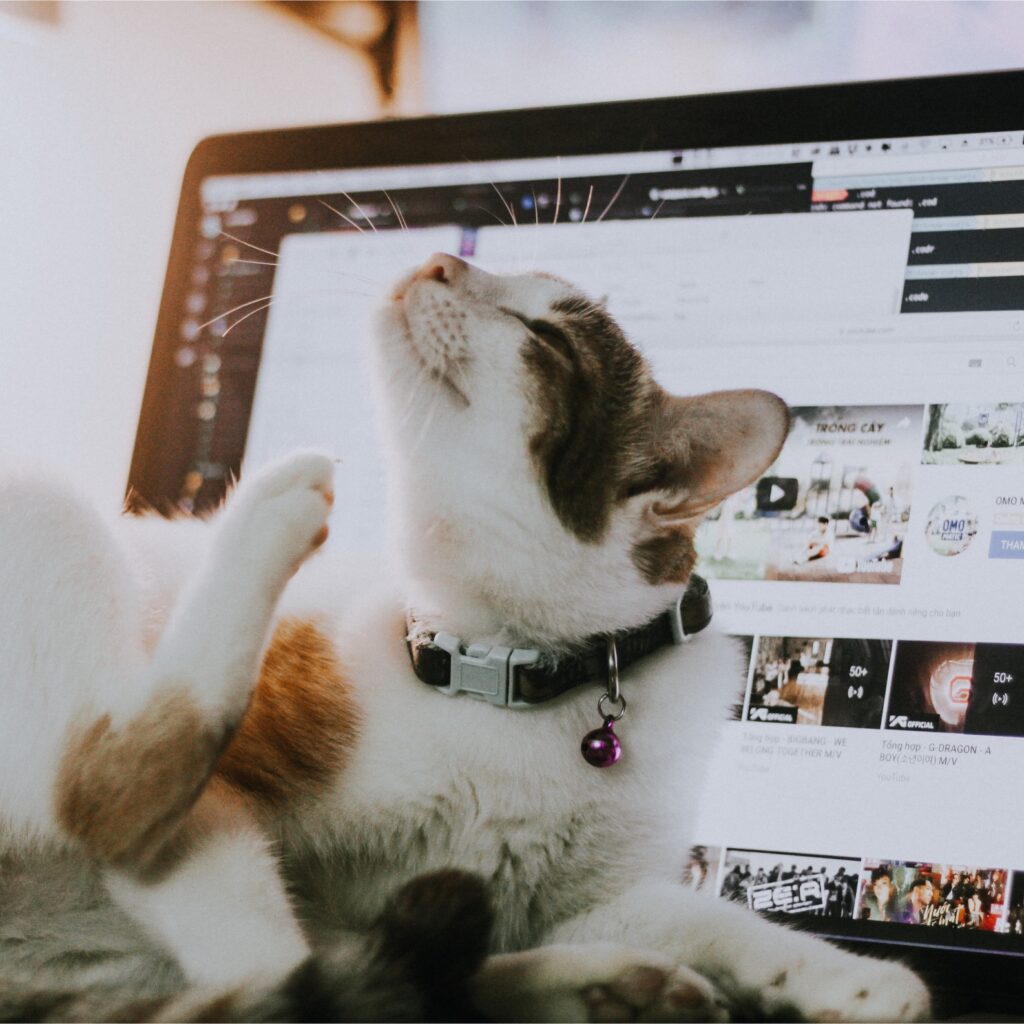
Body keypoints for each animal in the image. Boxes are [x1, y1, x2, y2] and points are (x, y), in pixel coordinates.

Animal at [0, 249, 929, 1024]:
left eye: (544, 335)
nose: (440, 258)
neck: (507, 676)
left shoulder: (586, 900)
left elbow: (713, 919)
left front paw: (853, 978)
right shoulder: (223, 805)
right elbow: (270, 958)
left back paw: (604, 987)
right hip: (51, 501)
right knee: (106, 798)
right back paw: (272, 504)